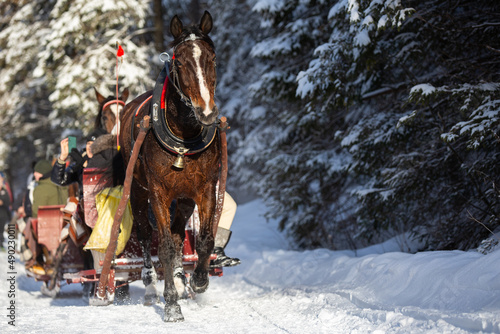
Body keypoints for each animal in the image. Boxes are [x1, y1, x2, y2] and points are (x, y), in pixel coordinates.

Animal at [119, 11, 221, 322]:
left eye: (212, 58)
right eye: (179, 62)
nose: (207, 112)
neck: (183, 135)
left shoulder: (204, 188)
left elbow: (204, 239)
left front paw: (198, 279)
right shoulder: (158, 192)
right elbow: (162, 246)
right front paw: (171, 305)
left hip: (185, 198)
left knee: (177, 234)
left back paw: (179, 277)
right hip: (138, 193)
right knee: (145, 235)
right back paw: (152, 287)